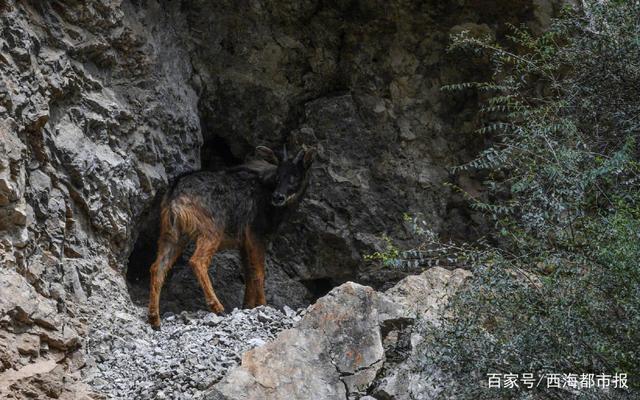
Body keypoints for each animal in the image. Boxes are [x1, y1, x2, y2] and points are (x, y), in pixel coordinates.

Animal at [146, 146, 316, 328]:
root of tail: (174, 196)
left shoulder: (243, 243)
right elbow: (259, 272)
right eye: (278, 176)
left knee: (157, 267)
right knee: (197, 261)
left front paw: (247, 305)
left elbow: (249, 273)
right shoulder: (255, 233)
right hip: (211, 229)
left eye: (295, 177)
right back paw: (217, 307)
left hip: (172, 234)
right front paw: (262, 305)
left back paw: (154, 319)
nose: (278, 196)